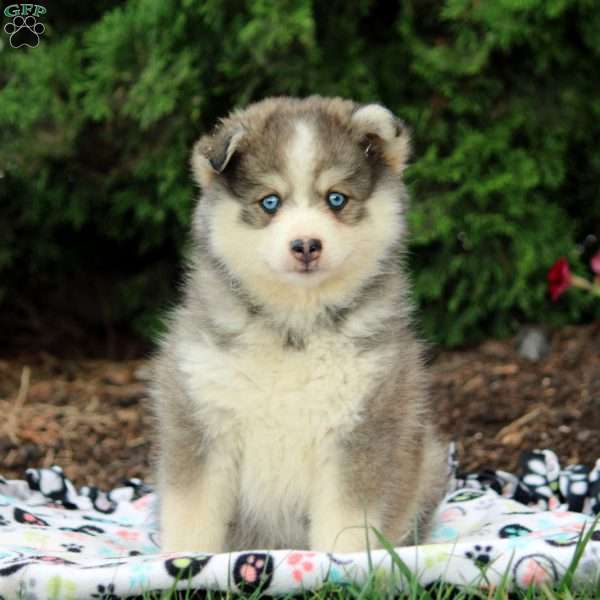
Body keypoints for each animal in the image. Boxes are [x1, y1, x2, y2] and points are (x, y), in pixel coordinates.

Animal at [152, 95, 448, 552]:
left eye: (336, 199)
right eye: (270, 202)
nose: (306, 245)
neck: (295, 330)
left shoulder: (361, 428)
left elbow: (346, 526)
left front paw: (343, 566)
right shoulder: (201, 418)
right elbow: (192, 517)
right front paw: (183, 563)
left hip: (428, 459)